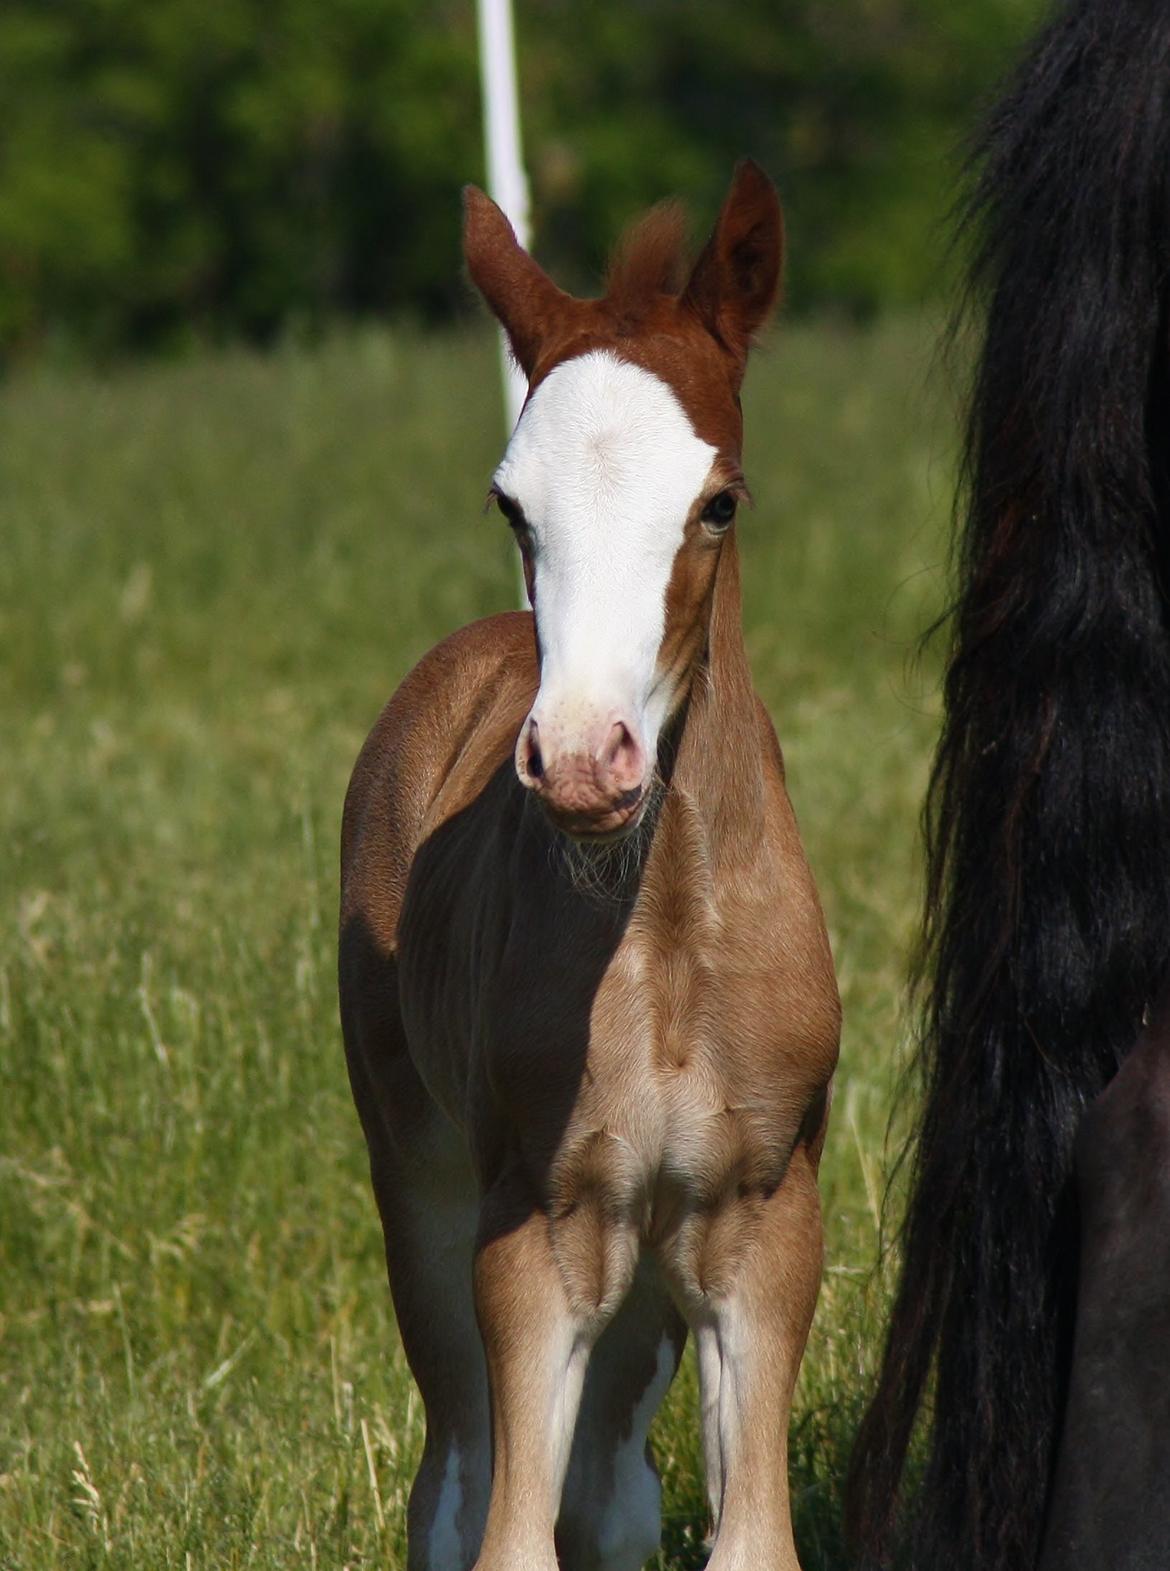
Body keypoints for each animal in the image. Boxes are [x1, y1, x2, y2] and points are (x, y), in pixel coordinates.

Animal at [337, 162, 841, 1571]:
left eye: (719, 500)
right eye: (512, 503)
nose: (578, 760)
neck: (660, 930)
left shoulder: (764, 1216)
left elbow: (746, 1537)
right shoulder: (535, 1222)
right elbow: (507, 1533)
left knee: (610, 1491)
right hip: (426, 1182)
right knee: (455, 1478)